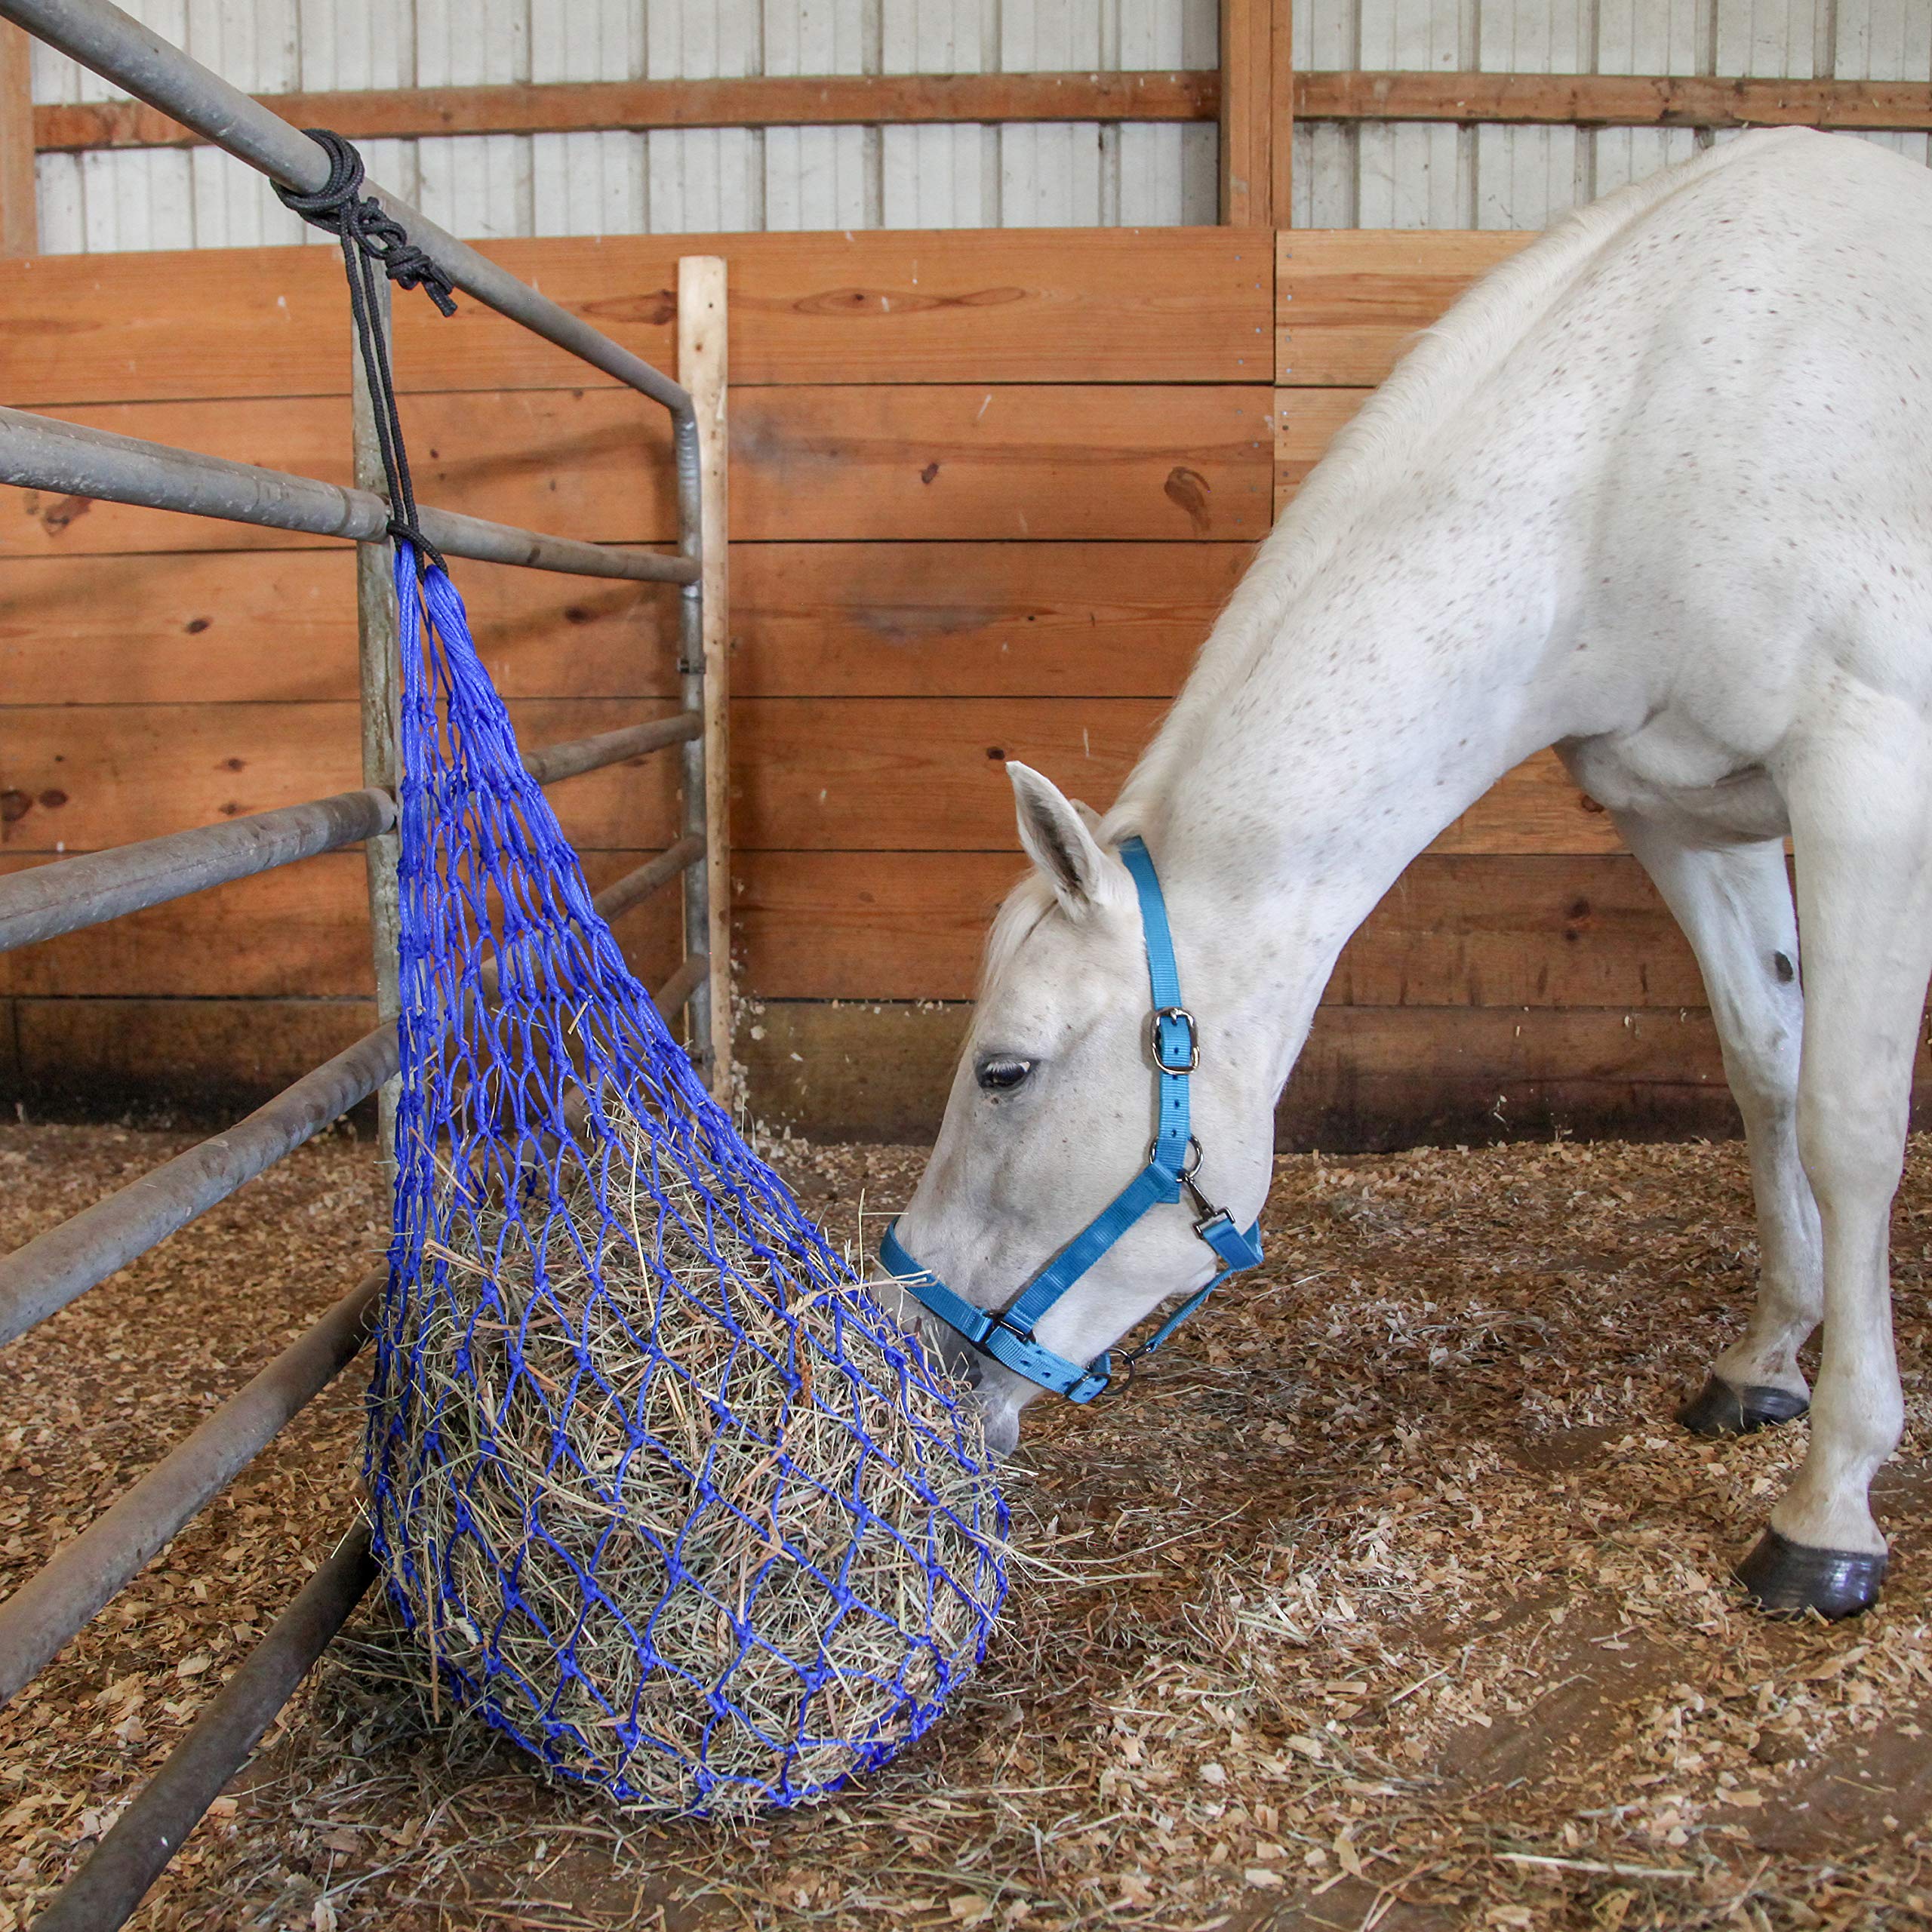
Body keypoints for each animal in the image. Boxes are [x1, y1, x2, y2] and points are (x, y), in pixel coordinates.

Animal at [879, 127, 1932, 1622]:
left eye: (1003, 1071)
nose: (915, 1350)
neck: (1651, 433)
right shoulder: (1690, 816)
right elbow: (1768, 1071)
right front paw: (1769, 1361)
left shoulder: (1869, 784)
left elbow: (1850, 1125)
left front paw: (1831, 1502)